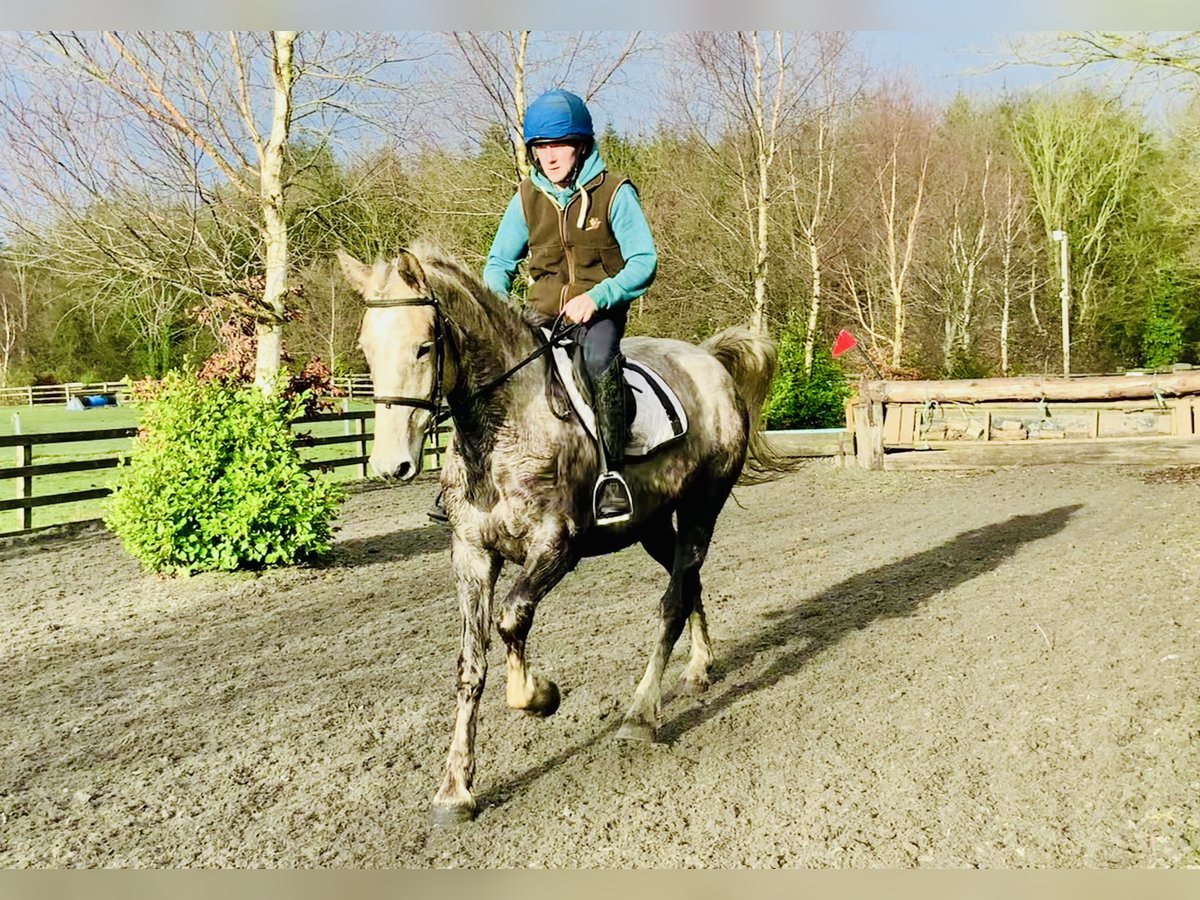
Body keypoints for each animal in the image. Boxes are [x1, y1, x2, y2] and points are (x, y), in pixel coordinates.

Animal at [336, 241, 796, 825]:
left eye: (423, 348)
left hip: (700, 509)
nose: (390, 465)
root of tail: (709, 360)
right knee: (688, 581)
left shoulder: (557, 544)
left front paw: (540, 696)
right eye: (367, 349)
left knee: (672, 599)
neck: (502, 427)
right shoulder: (471, 555)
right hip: (650, 525)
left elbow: (512, 620)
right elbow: (470, 665)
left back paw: (641, 714)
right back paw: (698, 669)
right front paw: (455, 789)